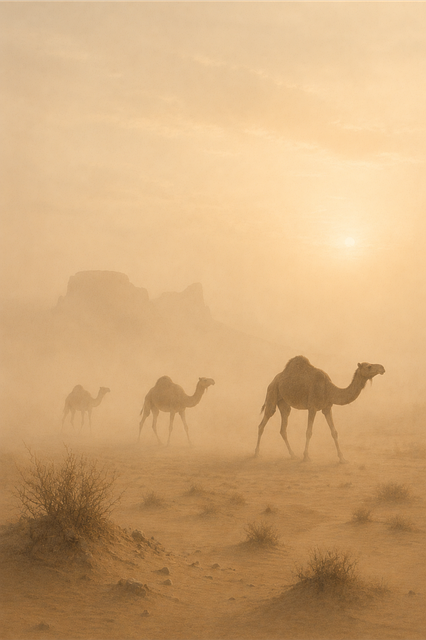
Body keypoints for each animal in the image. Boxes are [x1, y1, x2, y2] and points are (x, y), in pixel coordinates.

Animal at [255, 356, 385, 462]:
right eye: (369, 366)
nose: (382, 368)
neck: (329, 389)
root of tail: (273, 381)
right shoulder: (312, 407)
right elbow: (309, 432)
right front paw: (306, 457)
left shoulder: (327, 408)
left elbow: (334, 432)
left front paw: (342, 458)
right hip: (272, 394)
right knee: (262, 424)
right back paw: (256, 453)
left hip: (284, 404)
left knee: (283, 428)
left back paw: (292, 454)